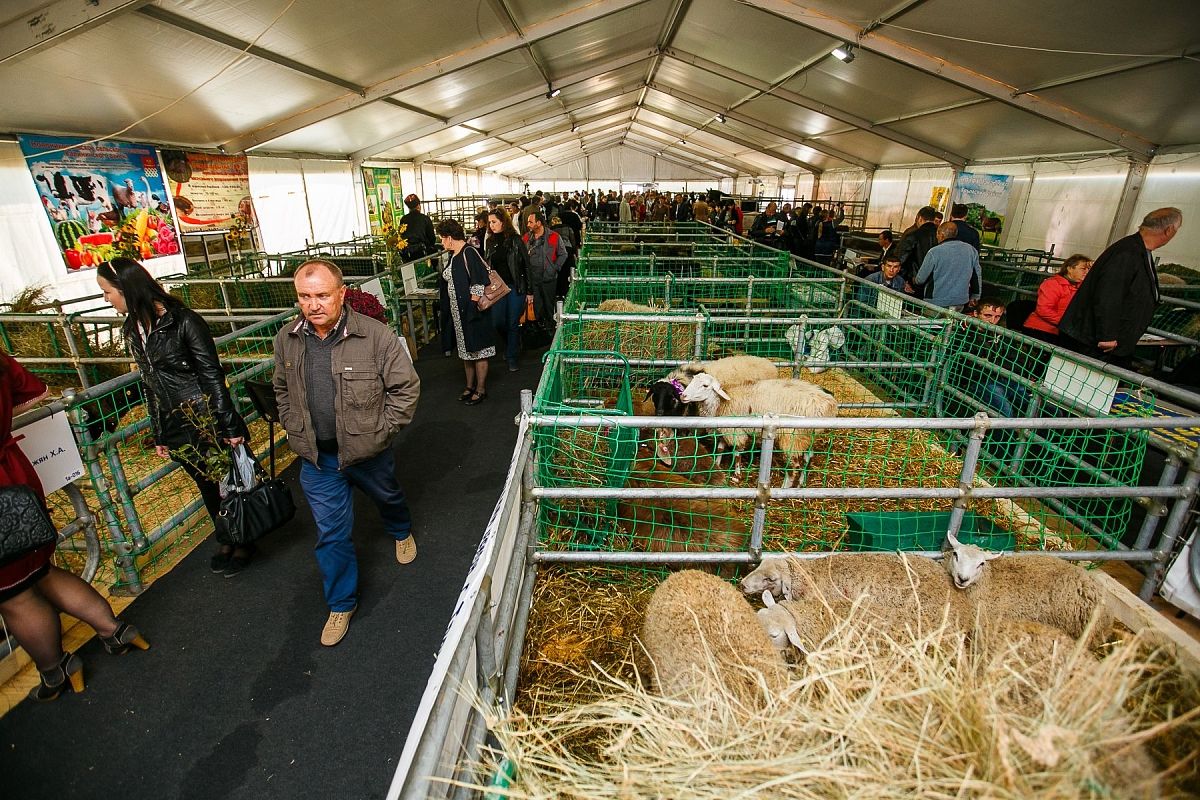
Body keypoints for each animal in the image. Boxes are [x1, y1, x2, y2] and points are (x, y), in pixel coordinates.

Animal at [681, 376, 840, 489]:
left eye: (705, 386)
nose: (683, 396)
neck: (720, 403)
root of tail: (828, 404)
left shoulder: (736, 432)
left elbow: (737, 453)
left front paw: (737, 476)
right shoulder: (725, 430)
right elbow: (720, 449)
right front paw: (717, 465)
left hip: (791, 437)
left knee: (793, 466)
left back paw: (784, 490)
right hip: (806, 436)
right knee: (808, 458)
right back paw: (801, 484)